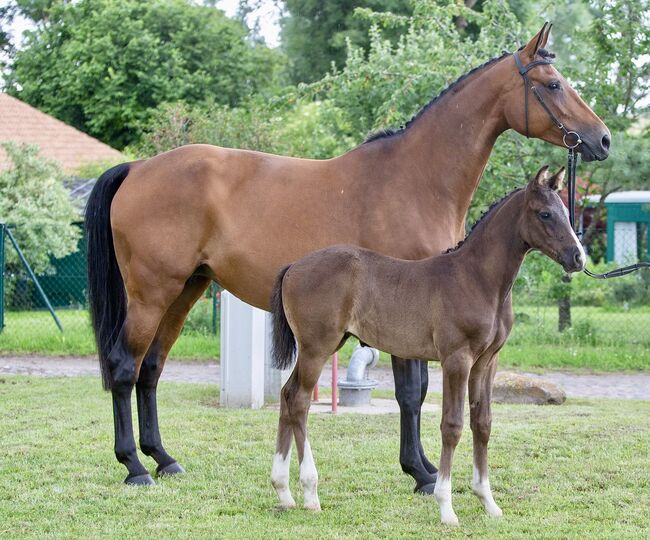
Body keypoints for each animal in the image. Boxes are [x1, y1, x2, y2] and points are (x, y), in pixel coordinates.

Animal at [268, 167, 584, 524]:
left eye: (567, 213)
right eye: (544, 214)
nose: (577, 257)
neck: (476, 279)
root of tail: (292, 267)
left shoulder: (487, 362)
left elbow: (482, 423)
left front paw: (488, 501)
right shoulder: (456, 359)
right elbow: (452, 425)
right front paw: (446, 507)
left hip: (318, 348)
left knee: (287, 396)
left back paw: (284, 492)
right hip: (316, 348)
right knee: (300, 401)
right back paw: (310, 493)